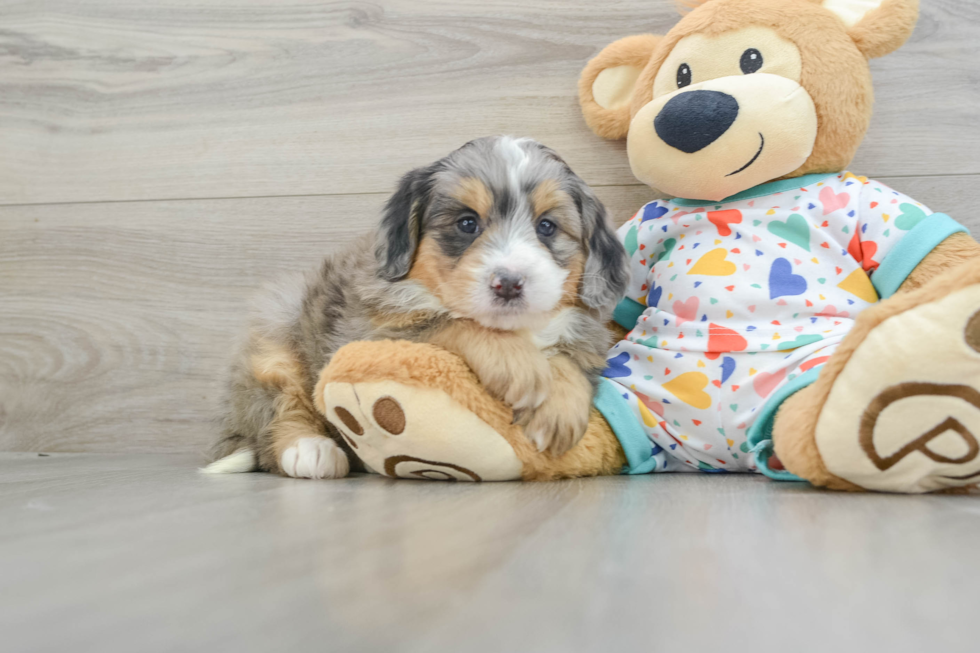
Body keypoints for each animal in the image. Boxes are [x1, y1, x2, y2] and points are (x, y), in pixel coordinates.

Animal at [211, 135, 632, 476]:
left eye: (547, 227)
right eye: (467, 223)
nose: (509, 283)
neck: (520, 331)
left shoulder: (586, 333)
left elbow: (567, 357)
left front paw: (559, 410)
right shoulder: (369, 334)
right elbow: (453, 322)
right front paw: (521, 368)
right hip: (274, 335)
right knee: (279, 408)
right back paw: (310, 449)